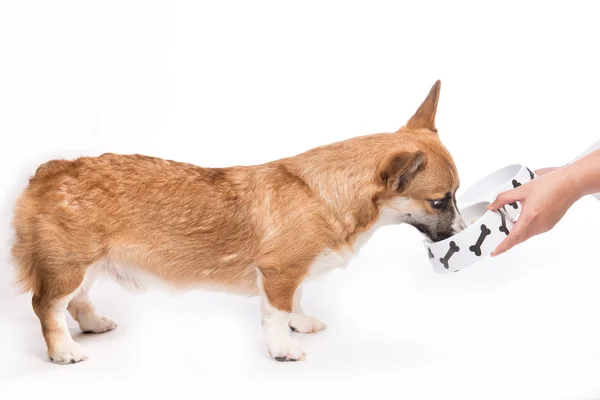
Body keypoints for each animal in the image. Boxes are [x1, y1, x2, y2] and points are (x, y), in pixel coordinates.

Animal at [11, 79, 466, 364]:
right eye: (440, 201)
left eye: (455, 196)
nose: (463, 235)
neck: (325, 193)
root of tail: (49, 171)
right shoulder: (279, 272)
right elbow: (276, 314)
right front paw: (284, 349)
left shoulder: (290, 274)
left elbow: (296, 301)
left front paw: (301, 323)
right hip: (69, 266)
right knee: (47, 306)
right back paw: (64, 351)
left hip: (85, 263)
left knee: (78, 300)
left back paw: (93, 325)